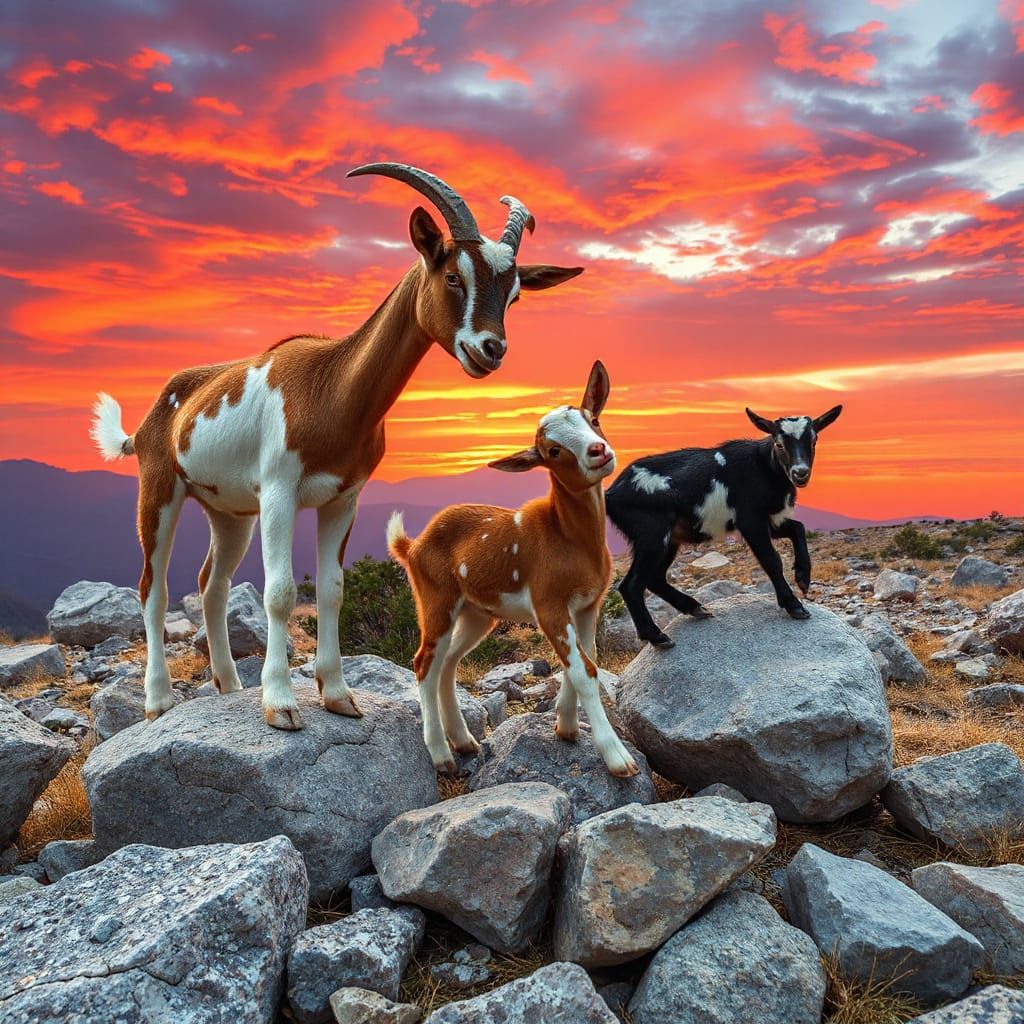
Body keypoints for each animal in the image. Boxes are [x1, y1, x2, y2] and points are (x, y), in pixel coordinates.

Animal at [89, 163, 582, 730]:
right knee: (154, 587)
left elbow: (331, 590)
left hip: (230, 513)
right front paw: (281, 703)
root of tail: (151, 417)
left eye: (515, 294)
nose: (490, 350)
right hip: (160, 488)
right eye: (453, 276)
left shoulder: (343, 498)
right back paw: (158, 699)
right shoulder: (279, 491)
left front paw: (339, 695)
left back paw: (229, 686)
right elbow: (280, 593)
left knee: (212, 584)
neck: (330, 387)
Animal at [387, 361, 638, 778]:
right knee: (424, 663)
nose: (598, 451)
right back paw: (441, 755)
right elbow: (584, 670)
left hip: (478, 612)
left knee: (448, 662)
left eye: (594, 419)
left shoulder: (588, 604)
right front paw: (617, 758)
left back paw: (464, 741)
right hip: (436, 598)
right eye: (552, 451)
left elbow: (585, 659)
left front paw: (566, 726)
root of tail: (412, 546)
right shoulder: (548, 601)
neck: (567, 536)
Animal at [605, 405, 843, 648]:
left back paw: (695, 608)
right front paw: (793, 605)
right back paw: (656, 636)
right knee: (631, 584)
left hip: (669, 537)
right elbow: (772, 561)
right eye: (778, 444)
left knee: (654, 578)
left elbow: (798, 528)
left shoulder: (771, 521)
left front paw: (803, 577)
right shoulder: (750, 520)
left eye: (813, 440)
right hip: (651, 533)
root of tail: (611, 493)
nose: (800, 473)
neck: (763, 467)